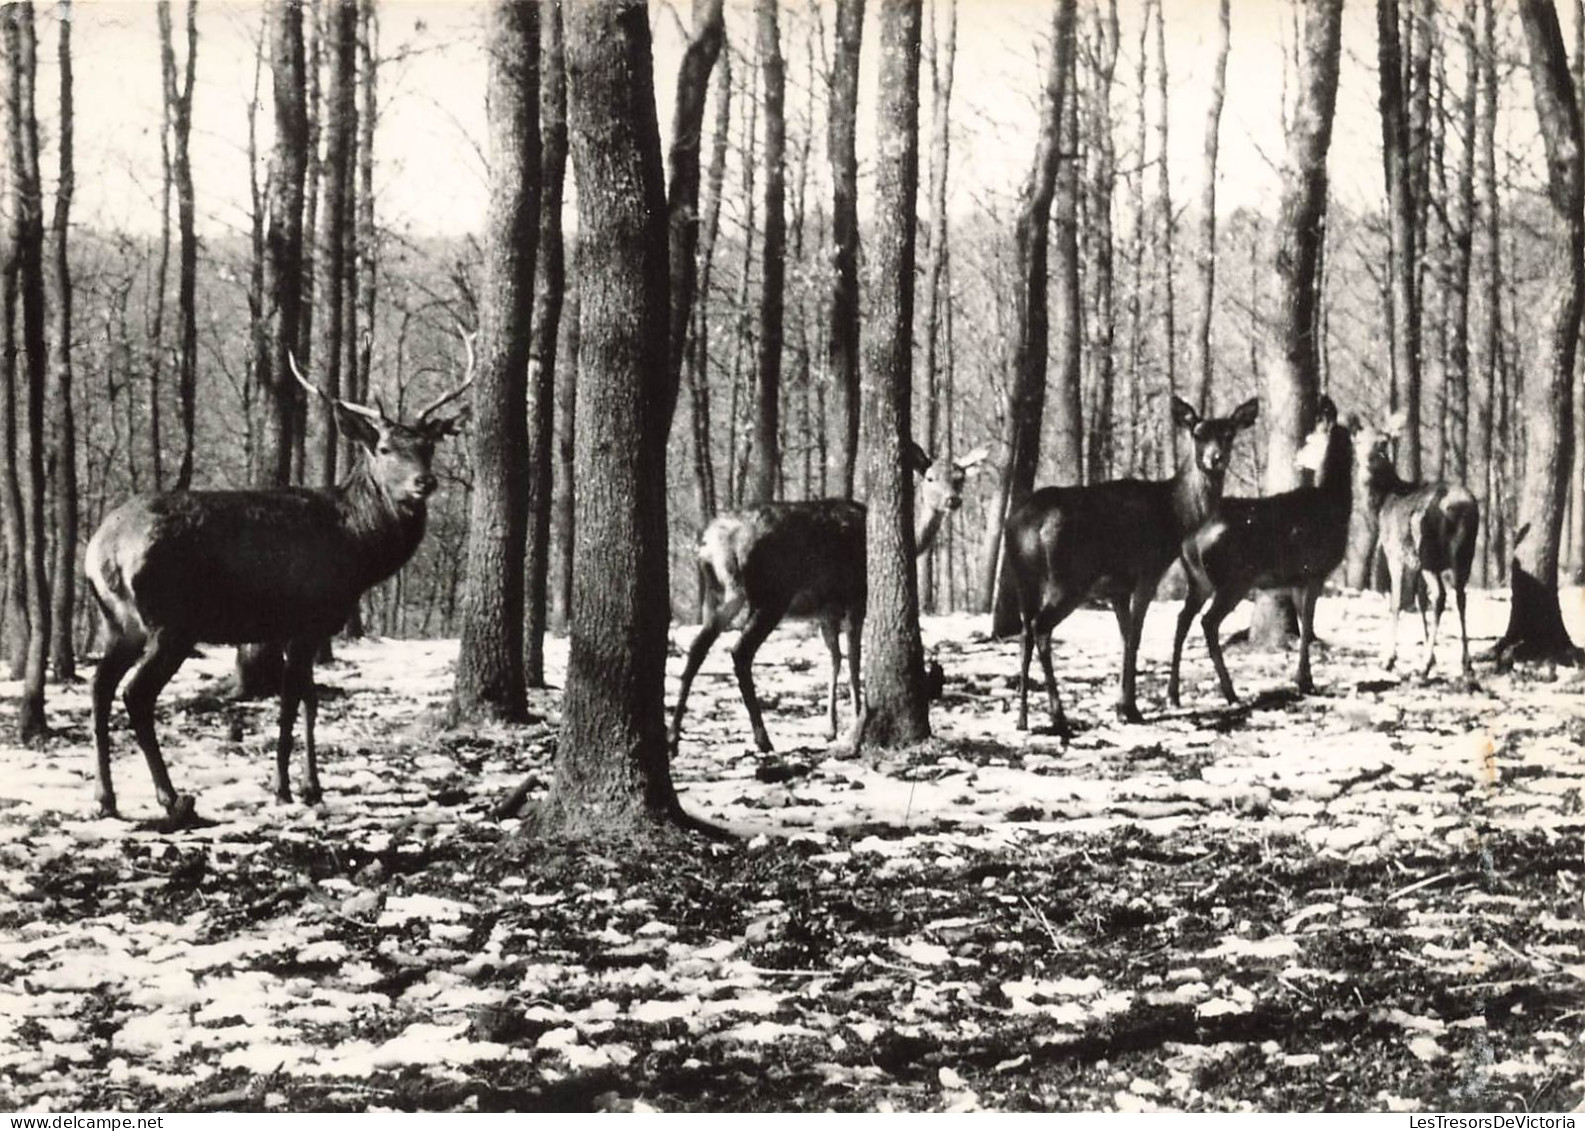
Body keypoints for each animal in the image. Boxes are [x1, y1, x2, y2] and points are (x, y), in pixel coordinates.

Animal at [86, 343, 469, 817]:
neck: (358, 550)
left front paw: (307, 785)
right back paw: (171, 797)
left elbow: (308, 700)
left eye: (428, 445)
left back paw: (106, 798)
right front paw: (288, 787)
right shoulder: (307, 621)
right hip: (170, 622)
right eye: (382, 447)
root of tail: (100, 551)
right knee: (135, 694)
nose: (424, 482)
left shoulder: (301, 629)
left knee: (100, 686)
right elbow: (292, 703)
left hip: (119, 622)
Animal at [672, 443, 989, 754]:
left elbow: (834, 658)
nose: (953, 500)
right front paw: (856, 719)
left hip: (719, 593)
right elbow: (853, 660)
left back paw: (674, 736)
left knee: (698, 647)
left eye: (960, 477)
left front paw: (831, 727)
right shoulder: (856, 598)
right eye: (930, 478)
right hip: (771, 595)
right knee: (739, 652)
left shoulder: (826, 609)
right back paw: (763, 739)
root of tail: (712, 542)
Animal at [1008, 394, 1255, 731]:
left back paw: (1022, 719)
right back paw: (1058, 715)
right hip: (1067, 579)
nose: (1215, 458)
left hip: (1024, 580)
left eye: (1229, 433)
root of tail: (1025, 524)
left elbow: (1125, 637)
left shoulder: (1118, 588)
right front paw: (1131, 709)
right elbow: (1135, 637)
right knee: (1041, 629)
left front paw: (1122, 706)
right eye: (1197, 434)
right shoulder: (1147, 571)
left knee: (1024, 635)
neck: (1172, 515)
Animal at [1166, 392, 1350, 700]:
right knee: (1207, 622)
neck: (1336, 504)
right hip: (1234, 577)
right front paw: (1305, 681)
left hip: (1199, 578)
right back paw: (1229, 691)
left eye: (1310, 439)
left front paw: (1304, 678)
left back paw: (1174, 693)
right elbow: (1308, 623)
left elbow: (1304, 623)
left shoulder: (1299, 577)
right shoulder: (1315, 570)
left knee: (1182, 619)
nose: (1299, 460)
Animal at [1356, 408, 1477, 674]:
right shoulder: (1416, 563)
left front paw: (1389, 658)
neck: (1383, 503)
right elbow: (1421, 601)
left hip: (1429, 551)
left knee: (1441, 595)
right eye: (1357, 441)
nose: (1368, 462)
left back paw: (1424, 666)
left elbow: (1396, 602)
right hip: (1464, 553)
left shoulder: (1396, 552)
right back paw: (1466, 663)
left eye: (1383, 443)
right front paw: (1432, 654)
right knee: (1460, 596)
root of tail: (1459, 507)